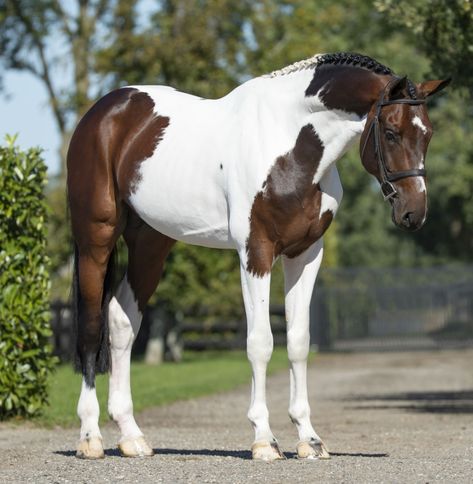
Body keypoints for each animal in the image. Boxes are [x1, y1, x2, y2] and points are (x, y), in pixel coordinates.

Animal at [66, 53, 446, 462]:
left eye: (427, 134)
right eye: (391, 132)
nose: (414, 213)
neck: (290, 143)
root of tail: (104, 110)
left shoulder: (305, 255)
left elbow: (298, 341)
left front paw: (309, 439)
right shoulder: (256, 252)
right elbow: (261, 342)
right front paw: (264, 439)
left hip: (151, 244)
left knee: (121, 321)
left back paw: (132, 437)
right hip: (96, 239)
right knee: (91, 327)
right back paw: (90, 438)